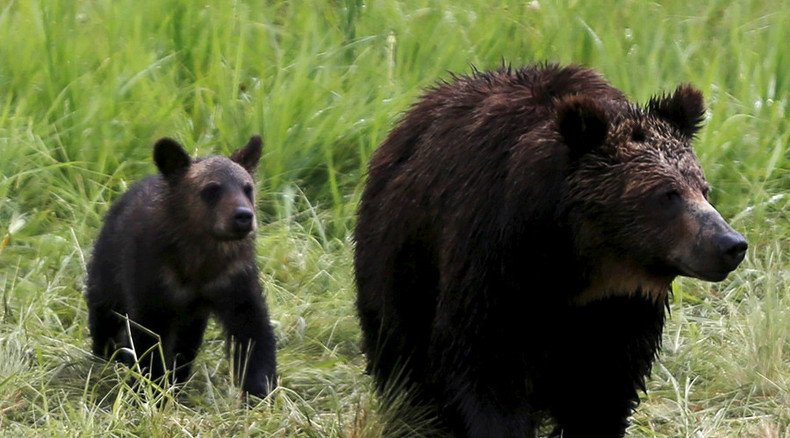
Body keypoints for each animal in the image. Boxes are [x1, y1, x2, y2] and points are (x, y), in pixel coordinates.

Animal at [85, 136, 276, 396]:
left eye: (247, 188)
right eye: (211, 189)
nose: (244, 216)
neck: (199, 262)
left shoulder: (233, 279)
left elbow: (252, 329)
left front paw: (260, 390)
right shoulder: (152, 279)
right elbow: (149, 337)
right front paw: (150, 388)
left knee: (187, 341)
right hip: (107, 270)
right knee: (104, 315)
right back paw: (106, 358)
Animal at [356, 63, 752, 436]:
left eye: (703, 188)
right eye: (666, 195)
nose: (730, 244)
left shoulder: (620, 309)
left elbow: (603, 389)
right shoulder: (493, 266)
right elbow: (486, 370)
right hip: (400, 264)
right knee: (403, 361)